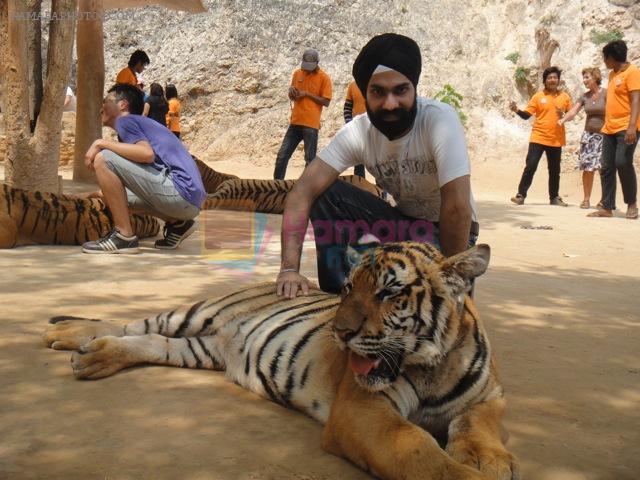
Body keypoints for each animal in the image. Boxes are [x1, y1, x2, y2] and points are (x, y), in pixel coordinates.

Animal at [43, 244, 516, 480]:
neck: (435, 366)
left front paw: (487, 459)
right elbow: (418, 452)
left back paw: (93, 358)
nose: (340, 333)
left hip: (199, 349)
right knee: (129, 322)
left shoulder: (491, 395)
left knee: (152, 342)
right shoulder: (362, 409)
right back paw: (65, 336)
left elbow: (478, 424)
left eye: (388, 293)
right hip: (195, 312)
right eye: (348, 288)